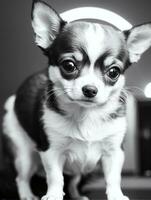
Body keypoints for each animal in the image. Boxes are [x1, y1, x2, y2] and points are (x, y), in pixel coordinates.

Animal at [2, 0, 151, 200]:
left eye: (114, 72)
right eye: (69, 65)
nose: (90, 89)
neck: (86, 114)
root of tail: (13, 99)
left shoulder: (114, 152)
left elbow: (114, 178)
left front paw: (116, 196)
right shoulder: (52, 150)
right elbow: (55, 177)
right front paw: (53, 195)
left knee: (74, 180)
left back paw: (77, 195)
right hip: (23, 154)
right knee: (22, 177)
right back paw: (27, 194)